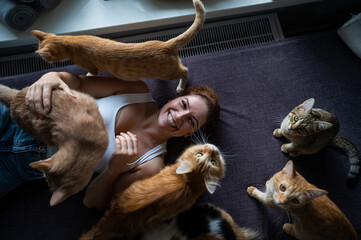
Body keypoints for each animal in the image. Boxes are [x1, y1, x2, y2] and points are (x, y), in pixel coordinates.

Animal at [31, 0, 205, 94]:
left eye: (44, 57)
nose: (45, 62)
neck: (72, 41)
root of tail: (165, 43)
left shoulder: (92, 68)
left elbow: (91, 74)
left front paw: (87, 76)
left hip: (168, 72)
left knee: (185, 71)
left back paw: (181, 88)